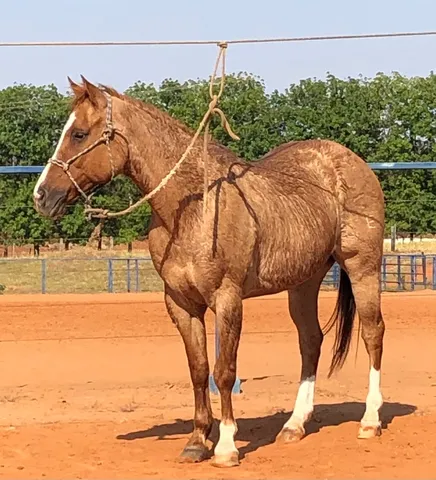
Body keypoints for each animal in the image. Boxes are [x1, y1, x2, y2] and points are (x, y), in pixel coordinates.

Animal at [34, 77, 386, 466]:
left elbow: (224, 370)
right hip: (304, 282)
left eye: (79, 134)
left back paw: (370, 420)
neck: (193, 206)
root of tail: (350, 161)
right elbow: (199, 370)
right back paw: (294, 425)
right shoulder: (181, 303)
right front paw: (197, 440)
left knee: (373, 333)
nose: (41, 195)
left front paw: (226, 445)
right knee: (310, 341)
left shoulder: (227, 299)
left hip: (362, 267)